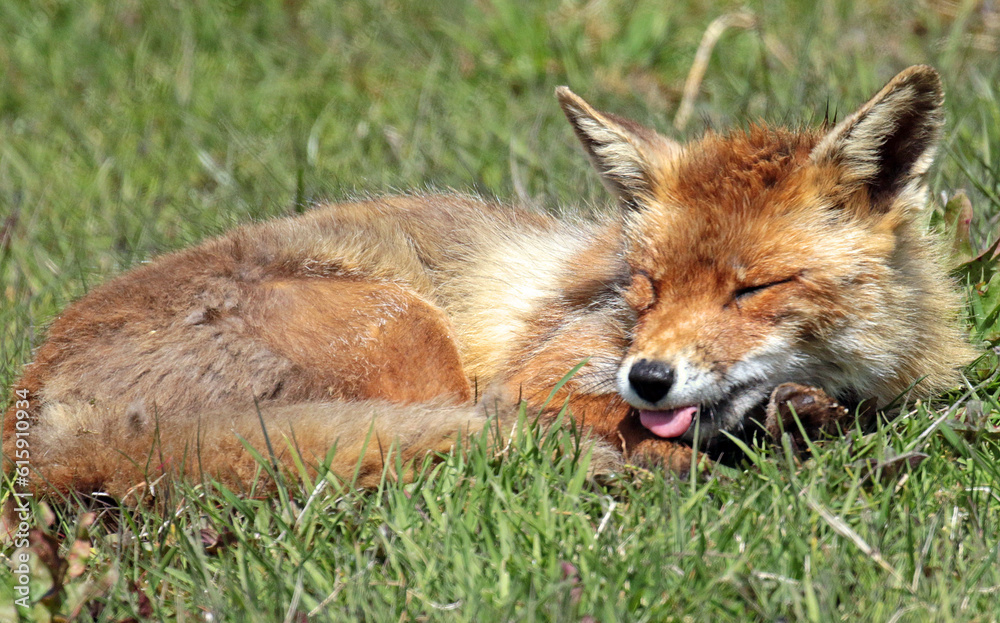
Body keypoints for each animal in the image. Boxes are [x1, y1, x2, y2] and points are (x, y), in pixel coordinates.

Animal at [2, 65, 975, 498]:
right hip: (404, 335)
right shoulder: (539, 375)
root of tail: (36, 407)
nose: (648, 376)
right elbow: (591, 420)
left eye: (753, 289)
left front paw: (792, 420)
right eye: (649, 286)